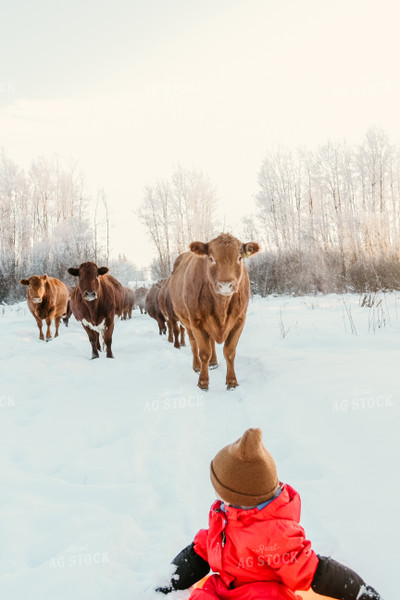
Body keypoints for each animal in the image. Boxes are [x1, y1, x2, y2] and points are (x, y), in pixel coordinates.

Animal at [168, 232, 260, 392]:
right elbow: (204, 352)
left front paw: (232, 382)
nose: (226, 285)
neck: (221, 306)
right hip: (187, 322)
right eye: (211, 259)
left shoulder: (239, 320)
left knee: (211, 342)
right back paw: (197, 366)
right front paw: (203, 382)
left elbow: (229, 352)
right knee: (193, 344)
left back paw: (213, 362)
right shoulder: (196, 322)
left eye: (239, 258)